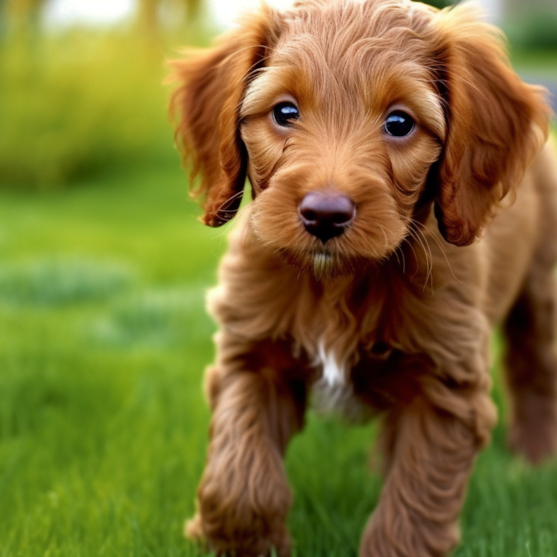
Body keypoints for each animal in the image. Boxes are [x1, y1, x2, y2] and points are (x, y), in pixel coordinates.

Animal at [169, 0, 556, 552]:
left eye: (399, 123)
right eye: (284, 112)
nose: (325, 216)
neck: (338, 281)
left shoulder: (445, 382)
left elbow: (411, 508)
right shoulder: (251, 353)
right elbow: (238, 481)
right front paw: (241, 544)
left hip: (538, 289)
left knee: (534, 368)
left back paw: (534, 460)